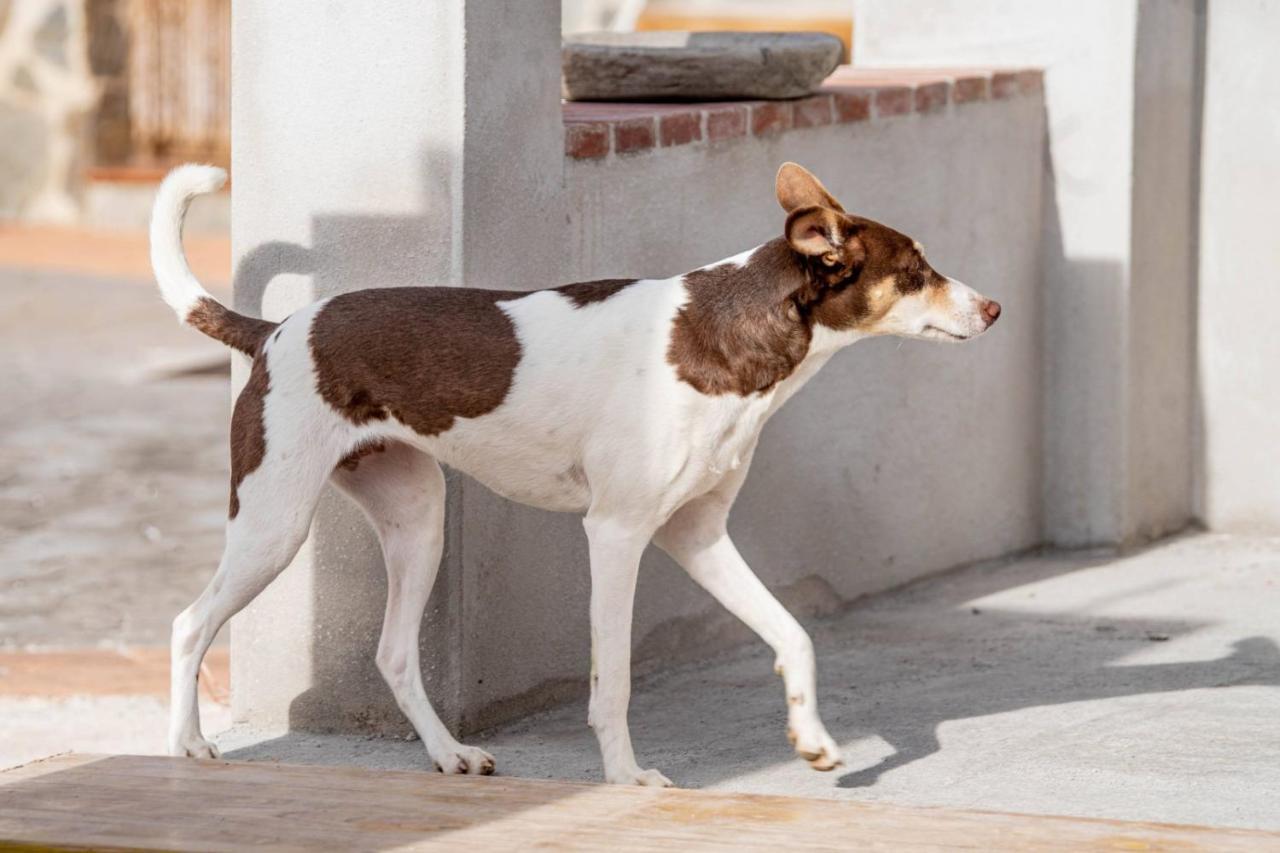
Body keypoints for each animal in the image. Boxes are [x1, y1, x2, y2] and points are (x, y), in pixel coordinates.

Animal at [154, 159, 998, 783]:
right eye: (916, 268)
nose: (993, 308)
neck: (722, 330)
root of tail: (275, 330)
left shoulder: (697, 535)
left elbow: (794, 633)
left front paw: (813, 738)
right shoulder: (617, 534)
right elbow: (613, 679)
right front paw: (626, 777)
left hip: (417, 520)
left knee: (393, 652)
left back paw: (448, 752)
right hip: (273, 523)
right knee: (190, 621)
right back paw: (188, 744)